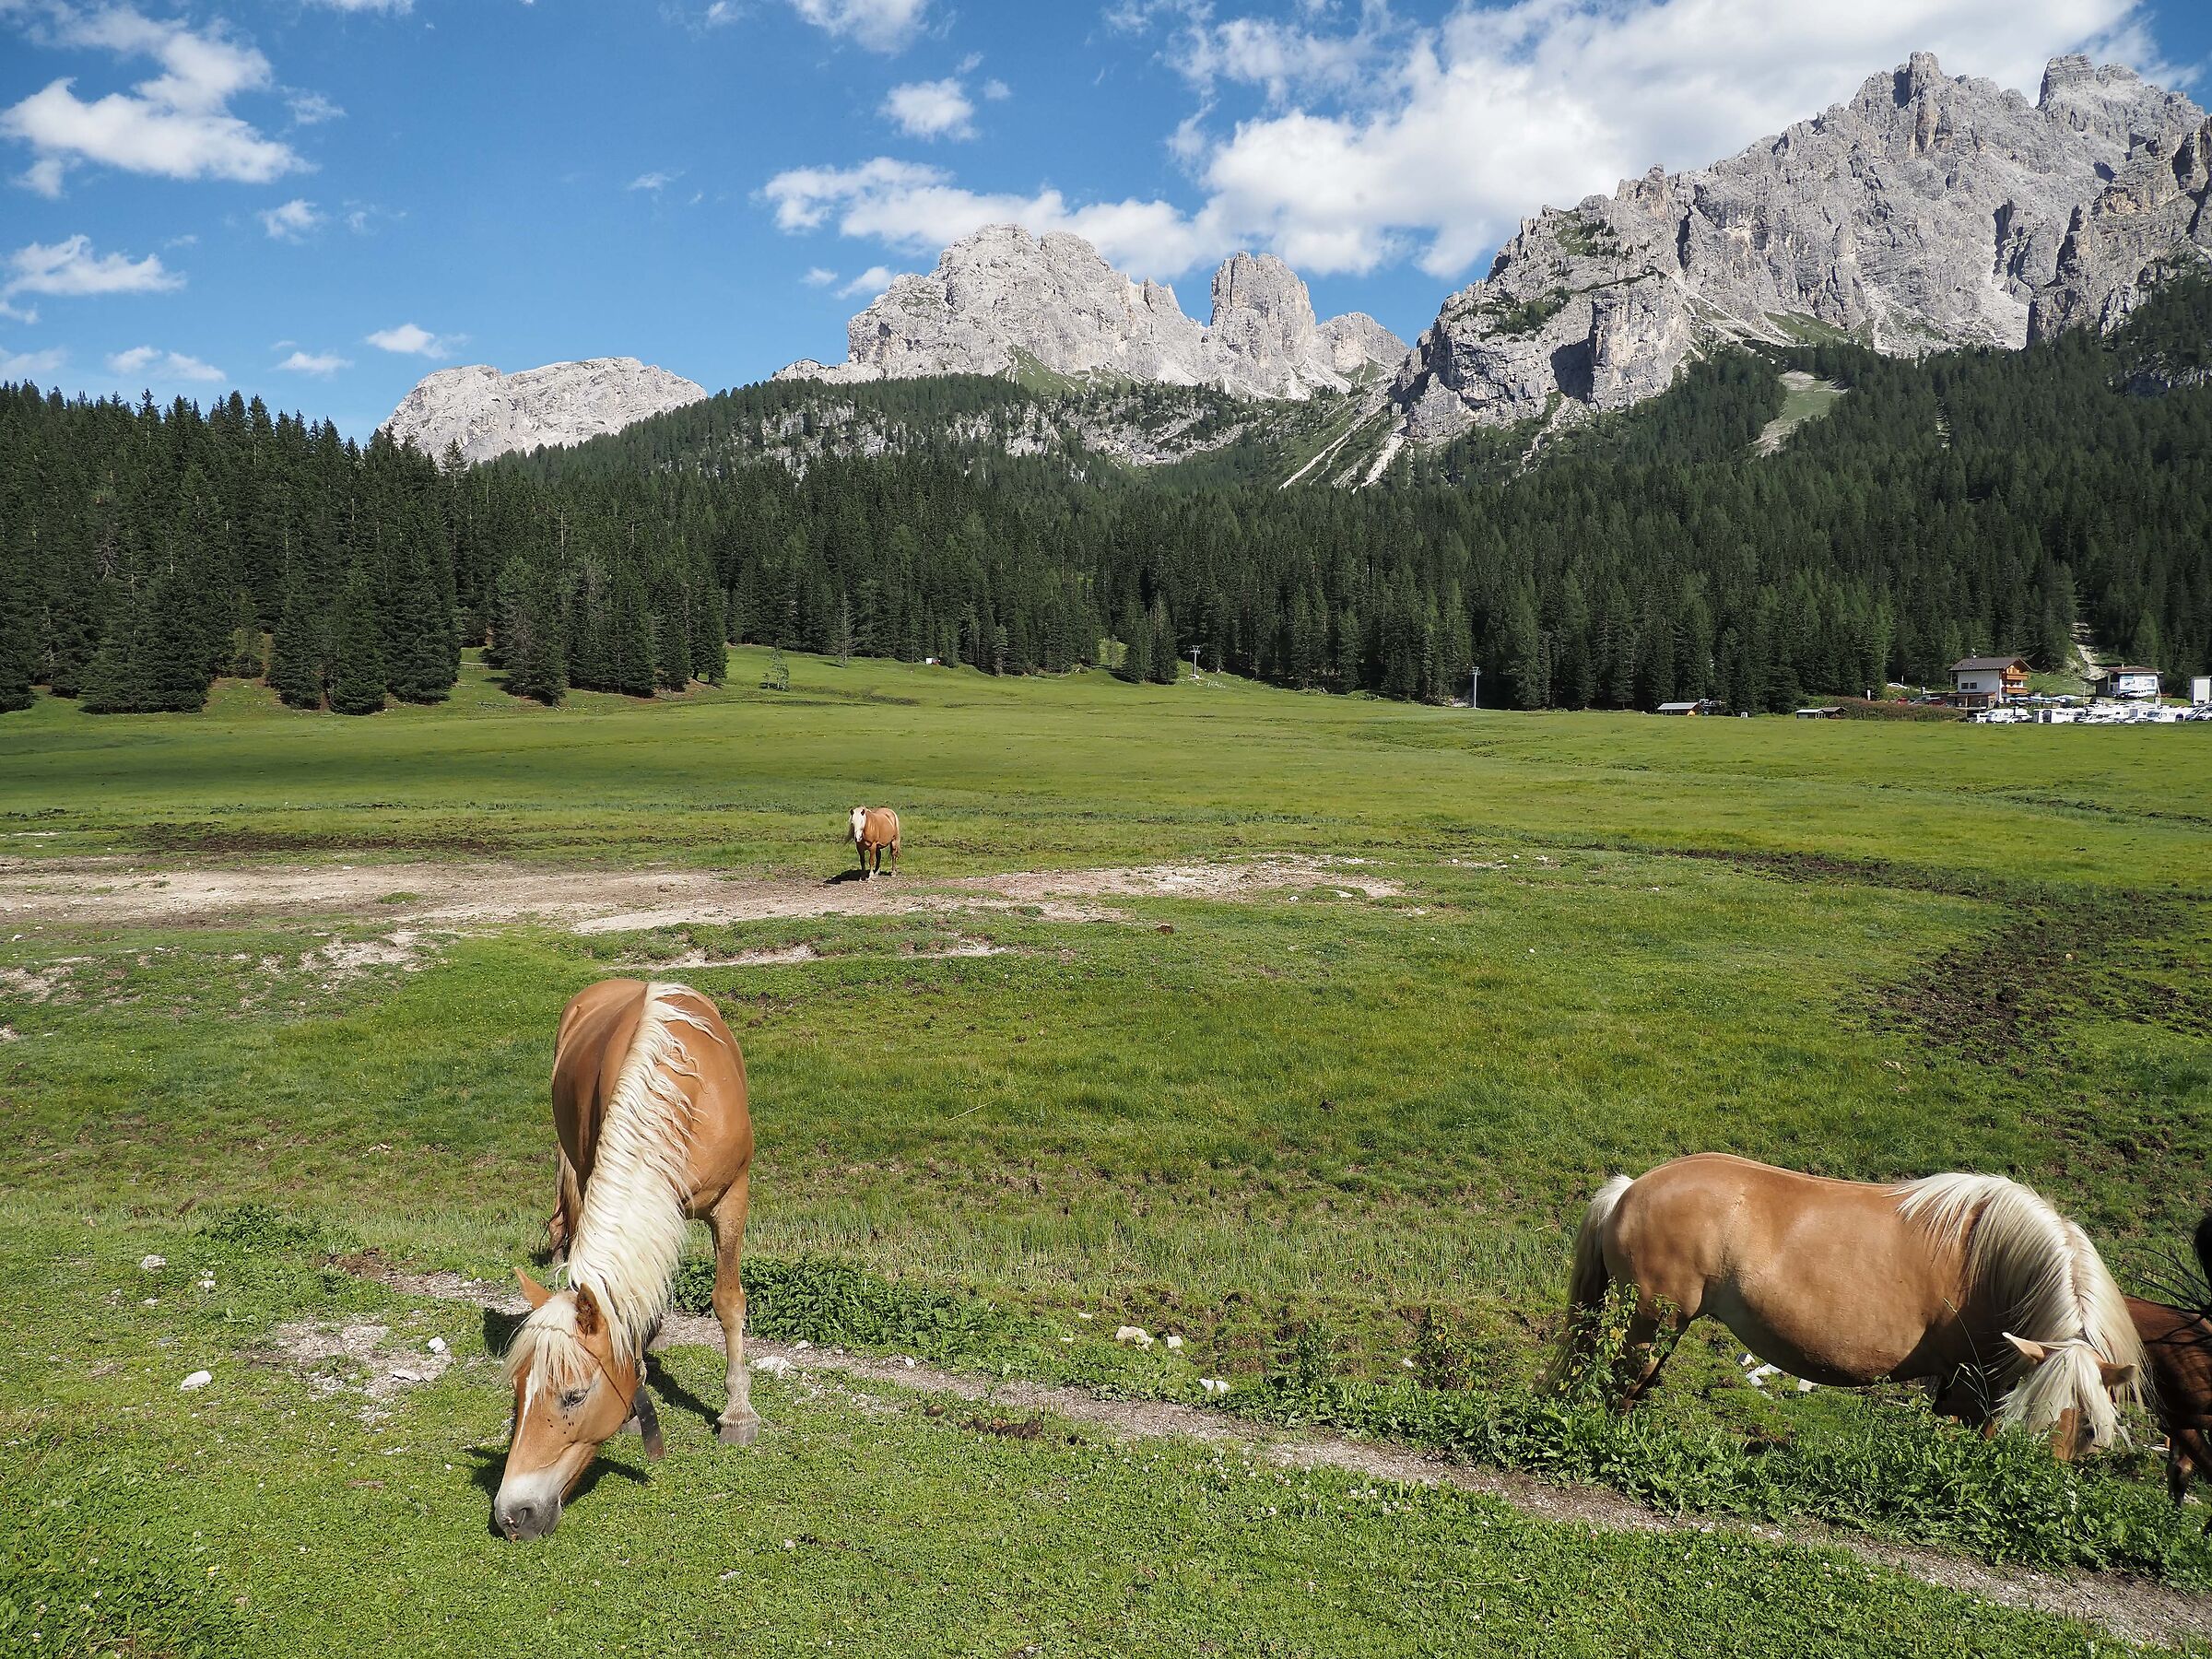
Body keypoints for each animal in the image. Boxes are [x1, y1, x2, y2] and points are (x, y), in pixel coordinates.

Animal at [494, 979, 758, 1541]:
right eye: (519, 1387)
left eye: (574, 1395)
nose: (512, 1514)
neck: (681, 1096)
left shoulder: (733, 1199)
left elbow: (727, 1301)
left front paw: (737, 1413)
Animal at [1562, 1153, 2148, 1459]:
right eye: (2036, 1418)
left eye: (2090, 1430)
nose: (2028, 1478)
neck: (1993, 1259)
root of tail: (1628, 1190)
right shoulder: (1969, 1382)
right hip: (1648, 1323)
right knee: (1617, 1389)